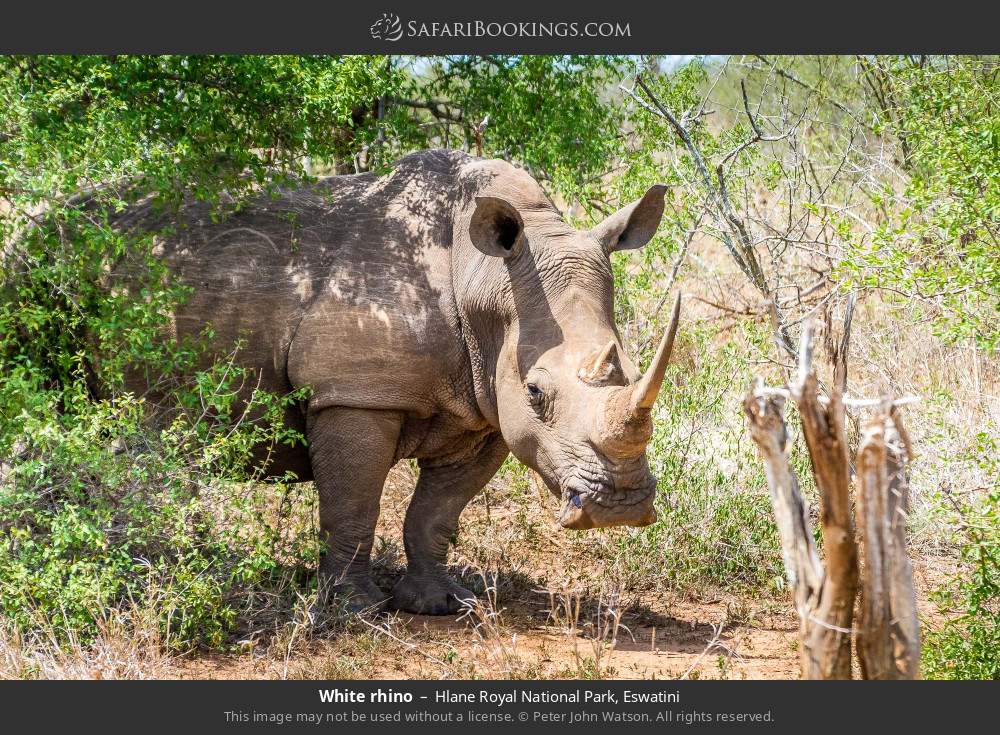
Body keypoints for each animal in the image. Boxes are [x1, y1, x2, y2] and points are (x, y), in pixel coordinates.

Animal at [113, 149, 681, 614]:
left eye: (635, 374)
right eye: (536, 392)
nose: (621, 506)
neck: (481, 281)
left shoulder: (486, 412)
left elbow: (436, 513)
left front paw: (440, 604)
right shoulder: (355, 394)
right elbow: (354, 505)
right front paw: (355, 610)